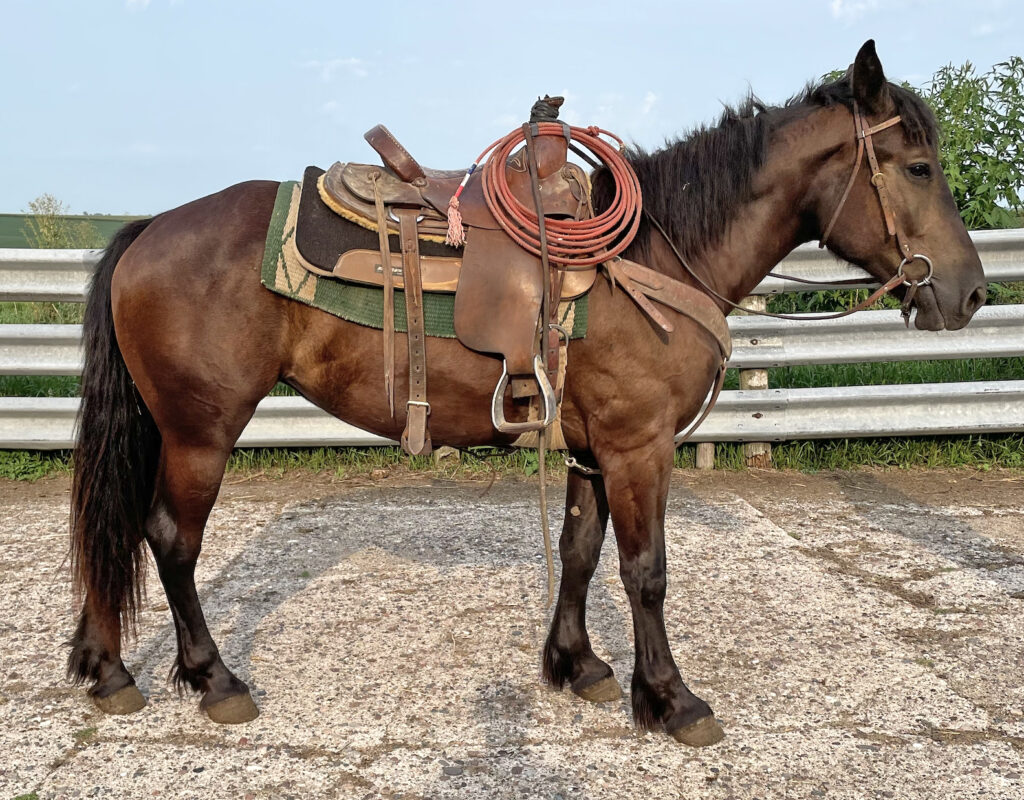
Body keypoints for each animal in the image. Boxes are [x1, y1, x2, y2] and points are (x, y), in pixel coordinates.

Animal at [67, 41, 986, 747]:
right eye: (917, 166)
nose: (971, 293)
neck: (655, 255)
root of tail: (148, 229)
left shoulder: (590, 449)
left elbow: (580, 552)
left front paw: (578, 666)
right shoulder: (637, 447)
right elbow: (646, 571)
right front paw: (673, 699)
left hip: (162, 427)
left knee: (115, 526)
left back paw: (107, 670)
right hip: (200, 432)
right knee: (170, 539)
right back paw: (214, 680)